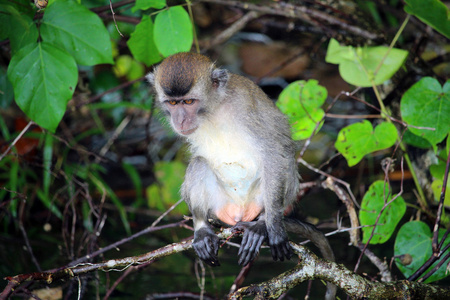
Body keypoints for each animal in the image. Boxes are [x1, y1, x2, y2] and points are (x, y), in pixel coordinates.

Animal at [147, 52, 334, 282]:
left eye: (189, 101)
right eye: (173, 103)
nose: (180, 119)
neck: (213, 109)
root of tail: (239, 213)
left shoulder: (245, 108)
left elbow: (274, 151)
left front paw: (273, 226)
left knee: (283, 160)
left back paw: (261, 223)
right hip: (219, 204)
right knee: (199, 163)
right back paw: (202, 228)